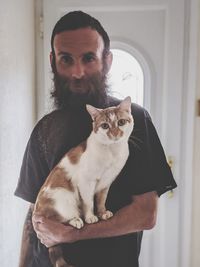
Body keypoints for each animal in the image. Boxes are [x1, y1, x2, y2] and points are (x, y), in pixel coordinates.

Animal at [33, 97, 134, 267]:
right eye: (105, 126)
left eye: (121, 122)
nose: (115, 134)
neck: (112, 152)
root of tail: (37, 210)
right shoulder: (86, 182)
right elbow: (88, 203)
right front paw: (91, 217)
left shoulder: (106, 182)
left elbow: (101, 200)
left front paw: (102, 213)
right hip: (64, 195)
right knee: (58, 220)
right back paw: (76, 220)